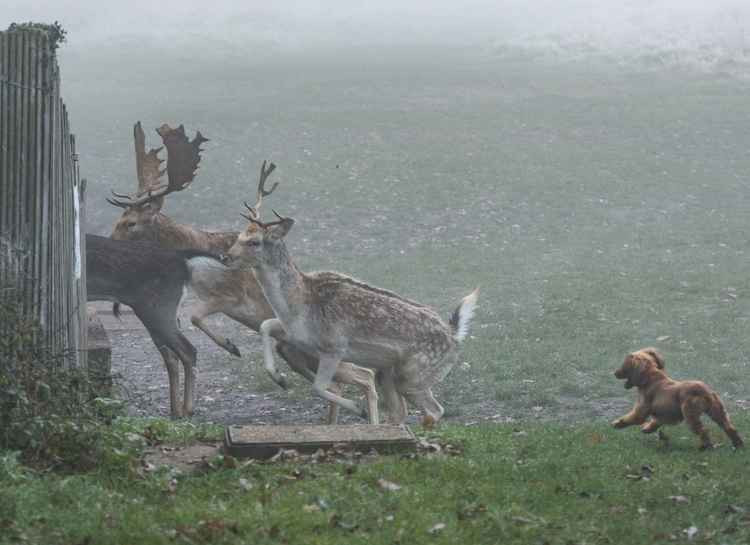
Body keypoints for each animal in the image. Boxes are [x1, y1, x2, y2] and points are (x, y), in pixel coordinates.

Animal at [107, 124, 382, 424]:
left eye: (130, 223)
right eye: (118, 220)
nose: (108, 243)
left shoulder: (231, 296)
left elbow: (195, 316)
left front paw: (230, 346)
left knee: (362, 375)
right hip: (296, 351)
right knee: (340, 381)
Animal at [226, 208, 478, 424]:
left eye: (254, 242)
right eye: (239, 236)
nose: (226, 257)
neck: (298, 305)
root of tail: (454, 335)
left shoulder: (334, 348)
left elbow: (318, 387)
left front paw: (359, 409)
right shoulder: (294, 335)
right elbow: (265, 325)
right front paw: (279, 378)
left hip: (413, 376)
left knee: (435, 410)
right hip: (387, 373)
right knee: (401, 412)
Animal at [612, 346, 744, 448]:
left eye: (623, 366)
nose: (614, 373)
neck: (650, 377)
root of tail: (704, 391)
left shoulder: (641, 410)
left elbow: (631, 418)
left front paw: (618, 423)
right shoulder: (663, 414)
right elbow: (656, 421)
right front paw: (648, 429)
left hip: (690, 414)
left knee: (703, 430)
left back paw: (705, 446)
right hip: (717, 411)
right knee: (729, 427)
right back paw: (738, 444)